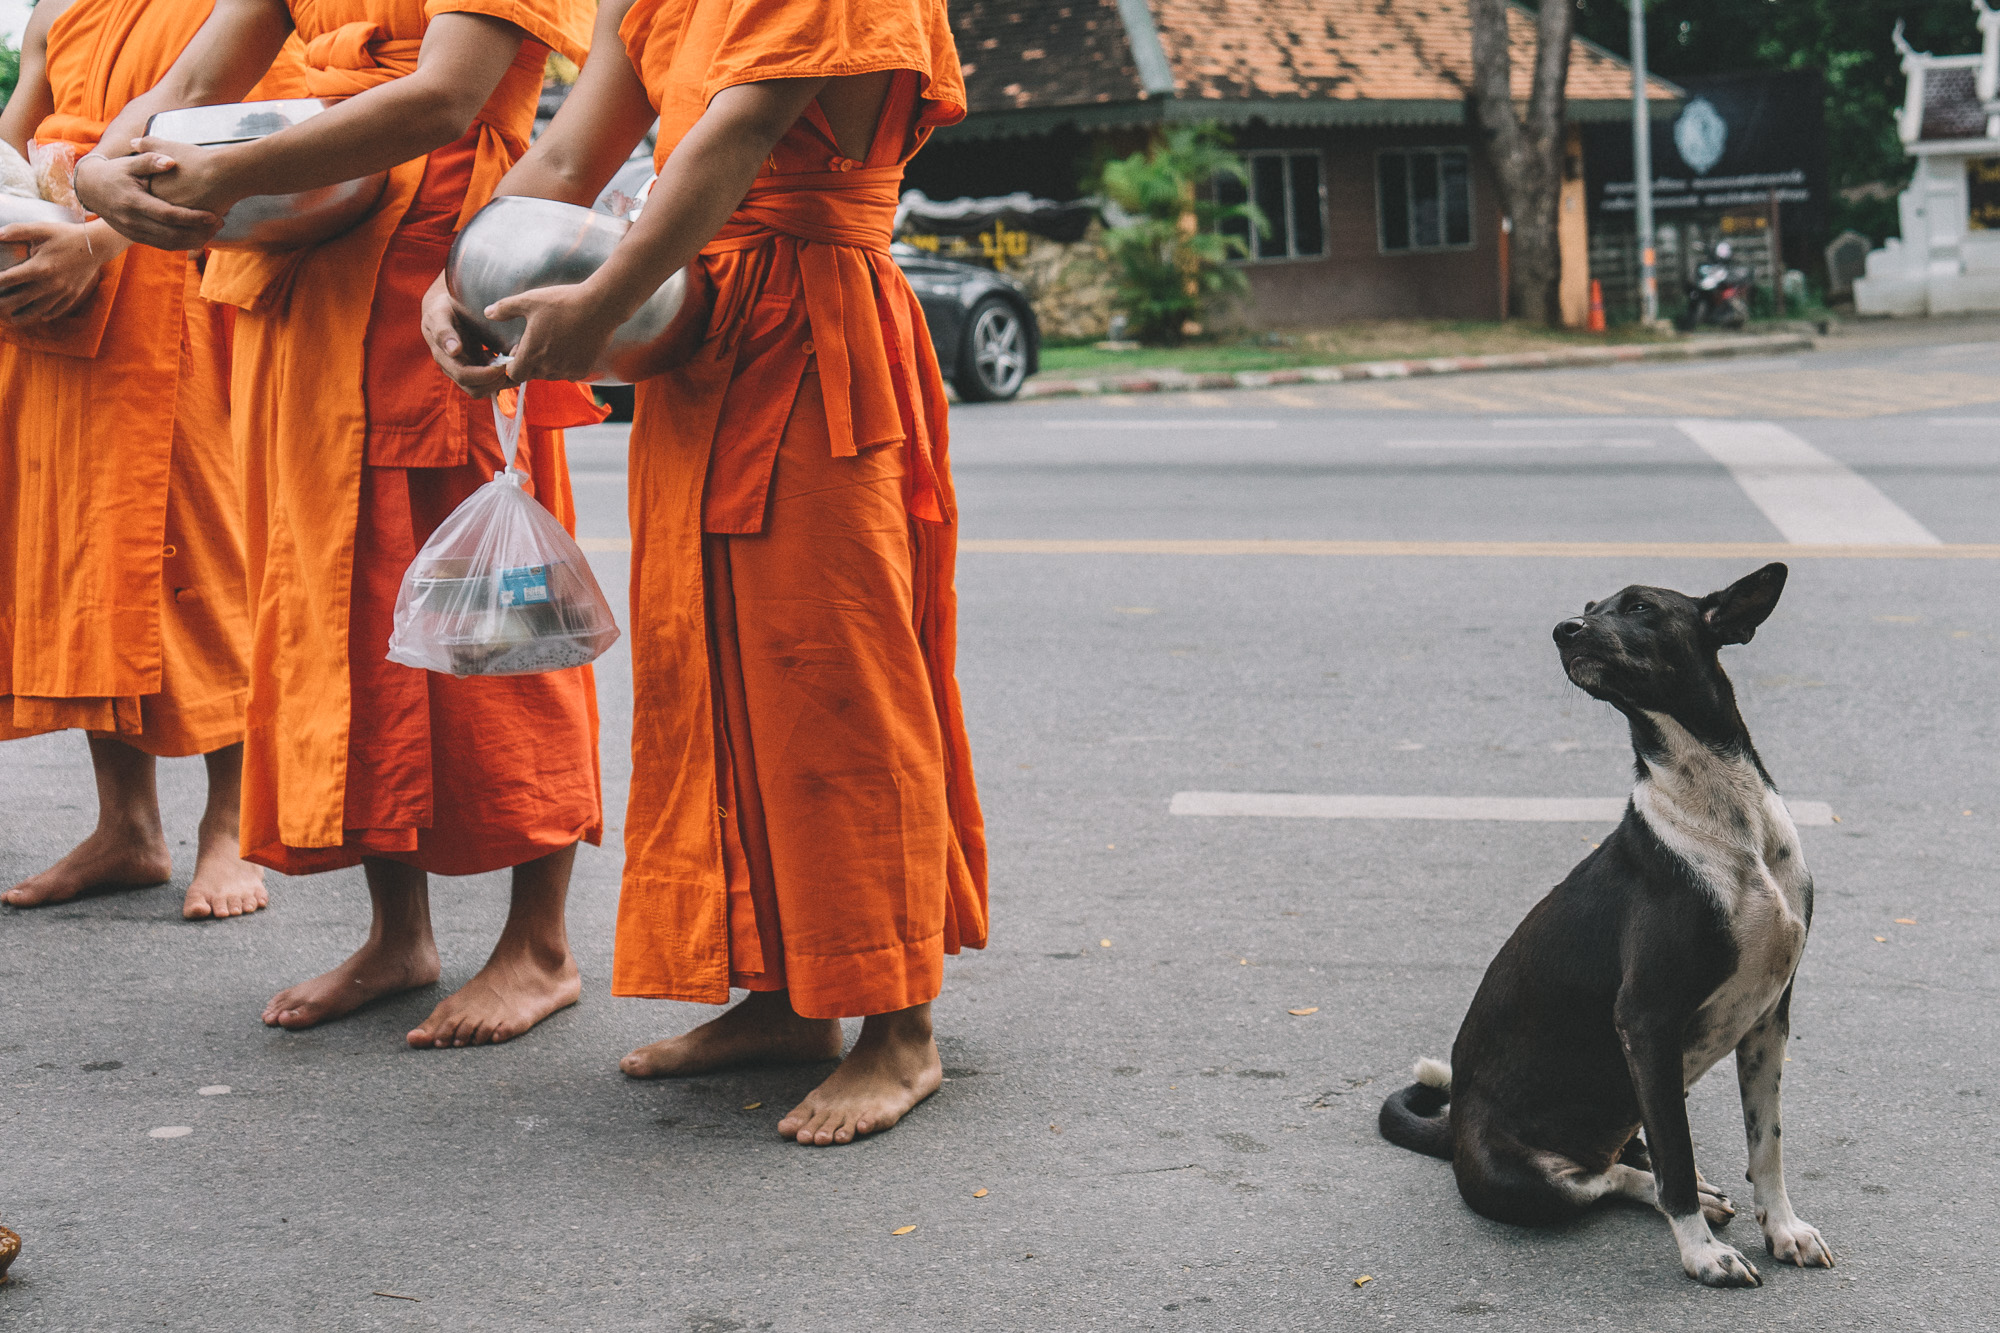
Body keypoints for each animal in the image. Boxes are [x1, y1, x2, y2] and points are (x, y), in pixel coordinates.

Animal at [1384, 564, 1832, 1288]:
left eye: (1641, 608)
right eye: (1591, 607)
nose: (1564, 629)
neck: (1721, 811)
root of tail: (1453, 1133)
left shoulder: (1769, 1017)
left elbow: (1766, 1145)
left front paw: (1784, 1228)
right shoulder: (1646, 1020)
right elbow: (1677, 1157)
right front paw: (1703, 1253)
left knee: (1627, 1155)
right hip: (1527, 1181)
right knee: (1607, 1178)